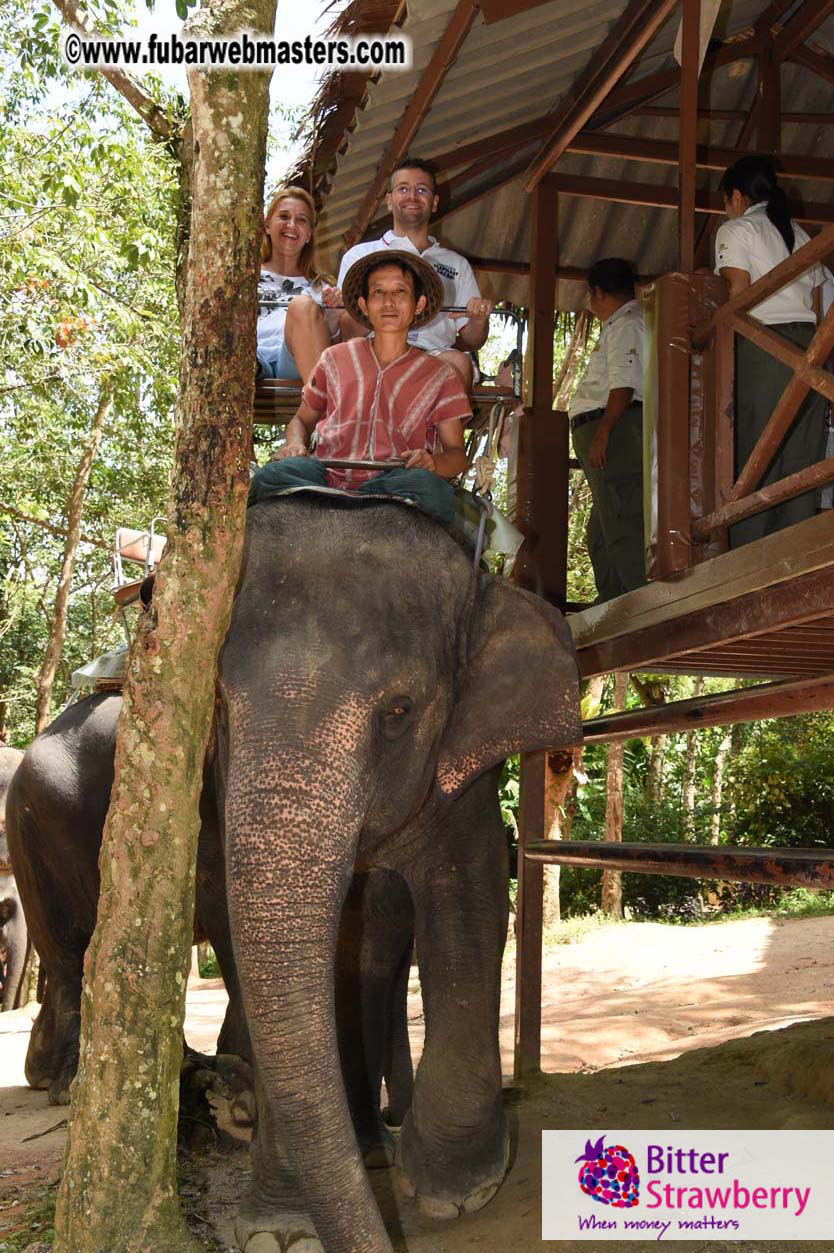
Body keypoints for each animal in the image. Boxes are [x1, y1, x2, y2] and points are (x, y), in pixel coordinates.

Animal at [8, 495, 581, 1252]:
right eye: (217, 704)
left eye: (400, 711)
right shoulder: (215, 794)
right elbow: (253, 936)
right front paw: (280, 1229)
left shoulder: (465, 766)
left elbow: (466, 899)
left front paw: (452, 1186)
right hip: (31, 826)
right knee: (70, 952)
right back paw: (70, 1086)